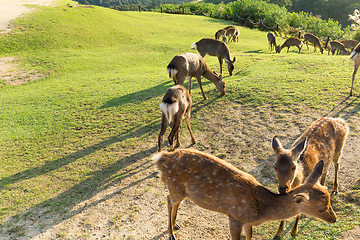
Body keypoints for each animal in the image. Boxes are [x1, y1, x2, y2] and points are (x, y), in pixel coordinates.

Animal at [154, 149, 338, 239]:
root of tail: (161, 158)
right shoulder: (235, 216)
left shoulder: (248, 222)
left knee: (175, 201)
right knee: (168, 200)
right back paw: (171, 234)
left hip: (181, 190)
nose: (334, 219)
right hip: (175, 186)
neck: (260, 210)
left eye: (329, 200)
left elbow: (249, 237)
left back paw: (176, 225)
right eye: (321, 208)